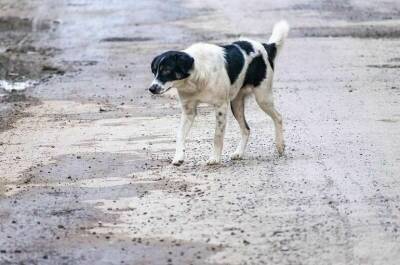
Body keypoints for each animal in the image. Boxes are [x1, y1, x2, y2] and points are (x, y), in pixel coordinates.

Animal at [148, 20, 290, 165]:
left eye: (167, 70)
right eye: (154, 71)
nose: (152, 88)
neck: (196, 78)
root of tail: (265, 46)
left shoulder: (221, 106)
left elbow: (217, 136)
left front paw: (214, 158)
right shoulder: (188, 111)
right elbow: (180, 134)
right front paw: (178, 157)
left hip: (263, 97)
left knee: (278, 117)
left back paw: (280, 145)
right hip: (236, 104)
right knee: (246, 129)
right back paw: (239, 153)